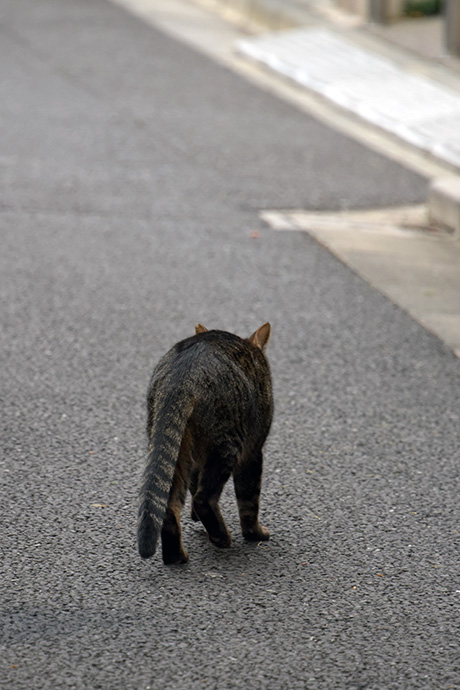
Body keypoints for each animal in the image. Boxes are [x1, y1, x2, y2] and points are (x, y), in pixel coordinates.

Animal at [137, 320, 274, 560]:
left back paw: (176, 556)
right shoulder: (253, 451)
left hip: (174, 445)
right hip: (226, 445)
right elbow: (249, 499)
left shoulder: (194, 460)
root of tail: (182, 375)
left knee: (169, 504)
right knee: (204, 498)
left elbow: (193, 485)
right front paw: (255, 534)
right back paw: (221, 538)